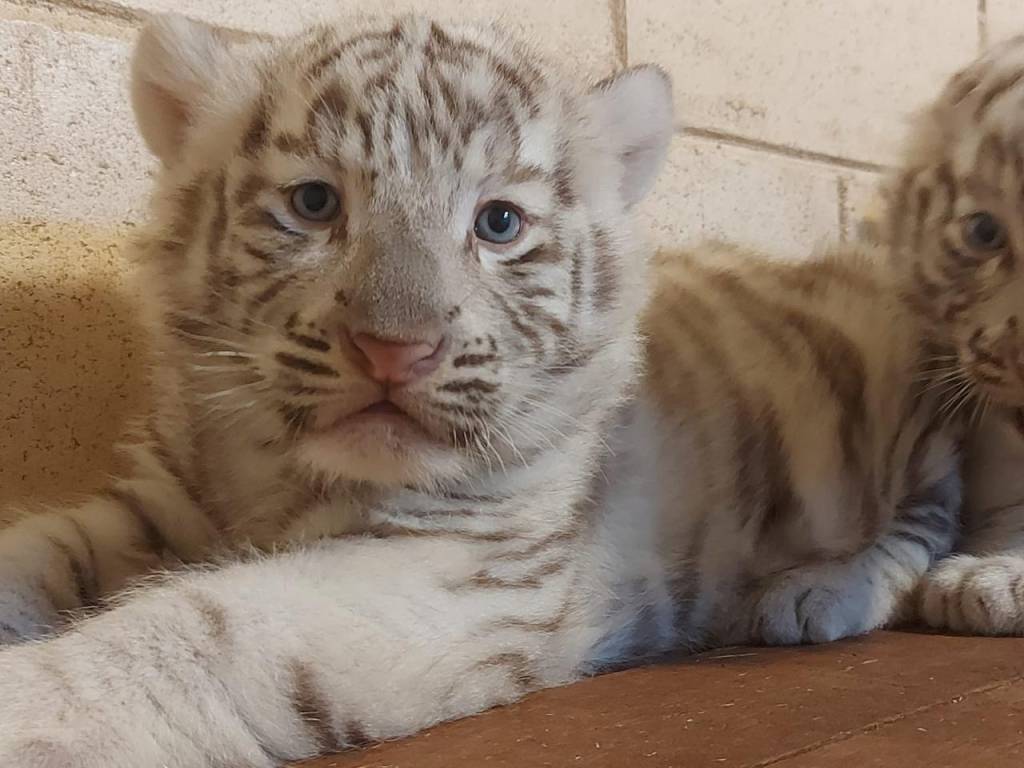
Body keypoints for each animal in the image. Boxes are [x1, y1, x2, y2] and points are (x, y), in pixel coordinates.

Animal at [0, 12, 1012, 768]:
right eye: (314, 203)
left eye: (498, 224)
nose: (395, 350)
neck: (274, 474)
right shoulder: (153, 503)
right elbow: (40, 550)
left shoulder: (459, 573)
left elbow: (210, 624)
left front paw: (31, 706)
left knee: (925, 519)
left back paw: (818, 596)